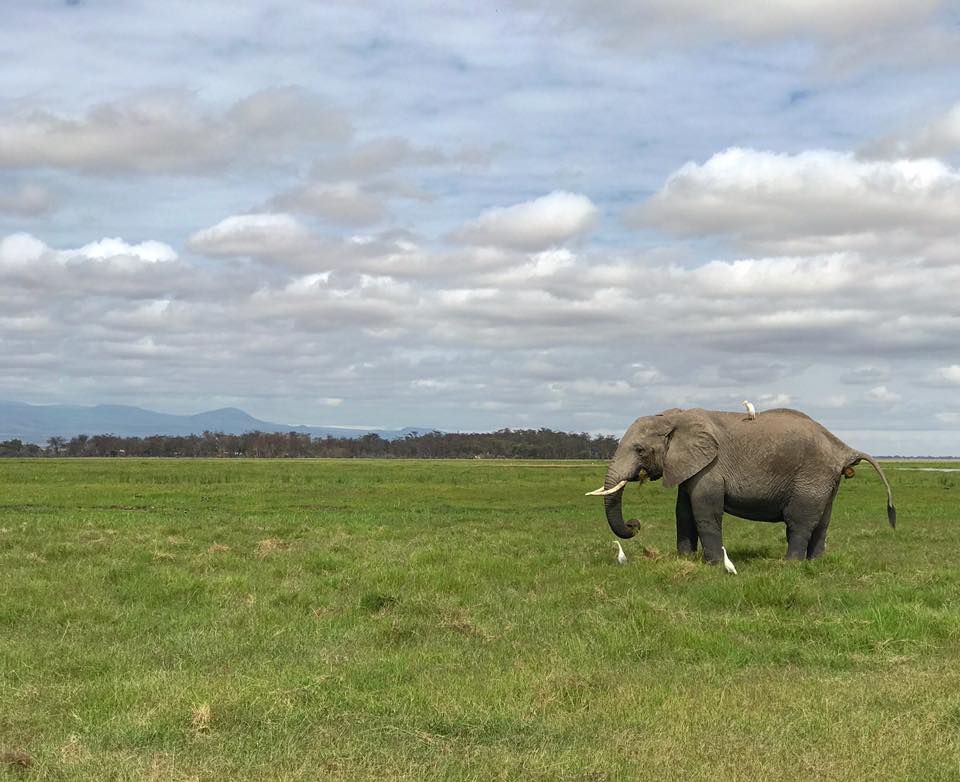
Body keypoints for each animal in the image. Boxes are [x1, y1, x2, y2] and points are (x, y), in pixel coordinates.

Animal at [587, 407, 895, 562]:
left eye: (639, 450)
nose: (635, 524)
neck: (674, 417)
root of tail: (842, 448)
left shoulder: (711, 466)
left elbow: (705, 512)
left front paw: (713, 565)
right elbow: (683, 512)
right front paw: (685, 560)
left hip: (811, 476)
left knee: (800, 521)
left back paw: (790, 565)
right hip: (826, 480)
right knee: (822, 521)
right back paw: (814, 563)